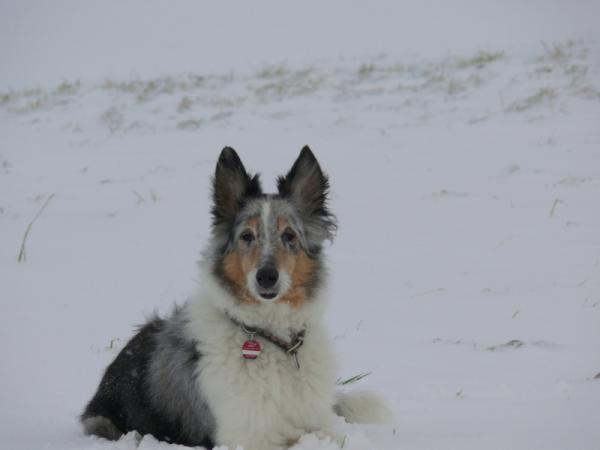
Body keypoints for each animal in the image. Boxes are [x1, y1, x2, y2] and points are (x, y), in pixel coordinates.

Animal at [81, 146, 390, 448]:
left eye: (289, 235)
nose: (266, 276)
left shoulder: (316, 422)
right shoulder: (247, 437)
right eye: (247, 236)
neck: (274, 340)